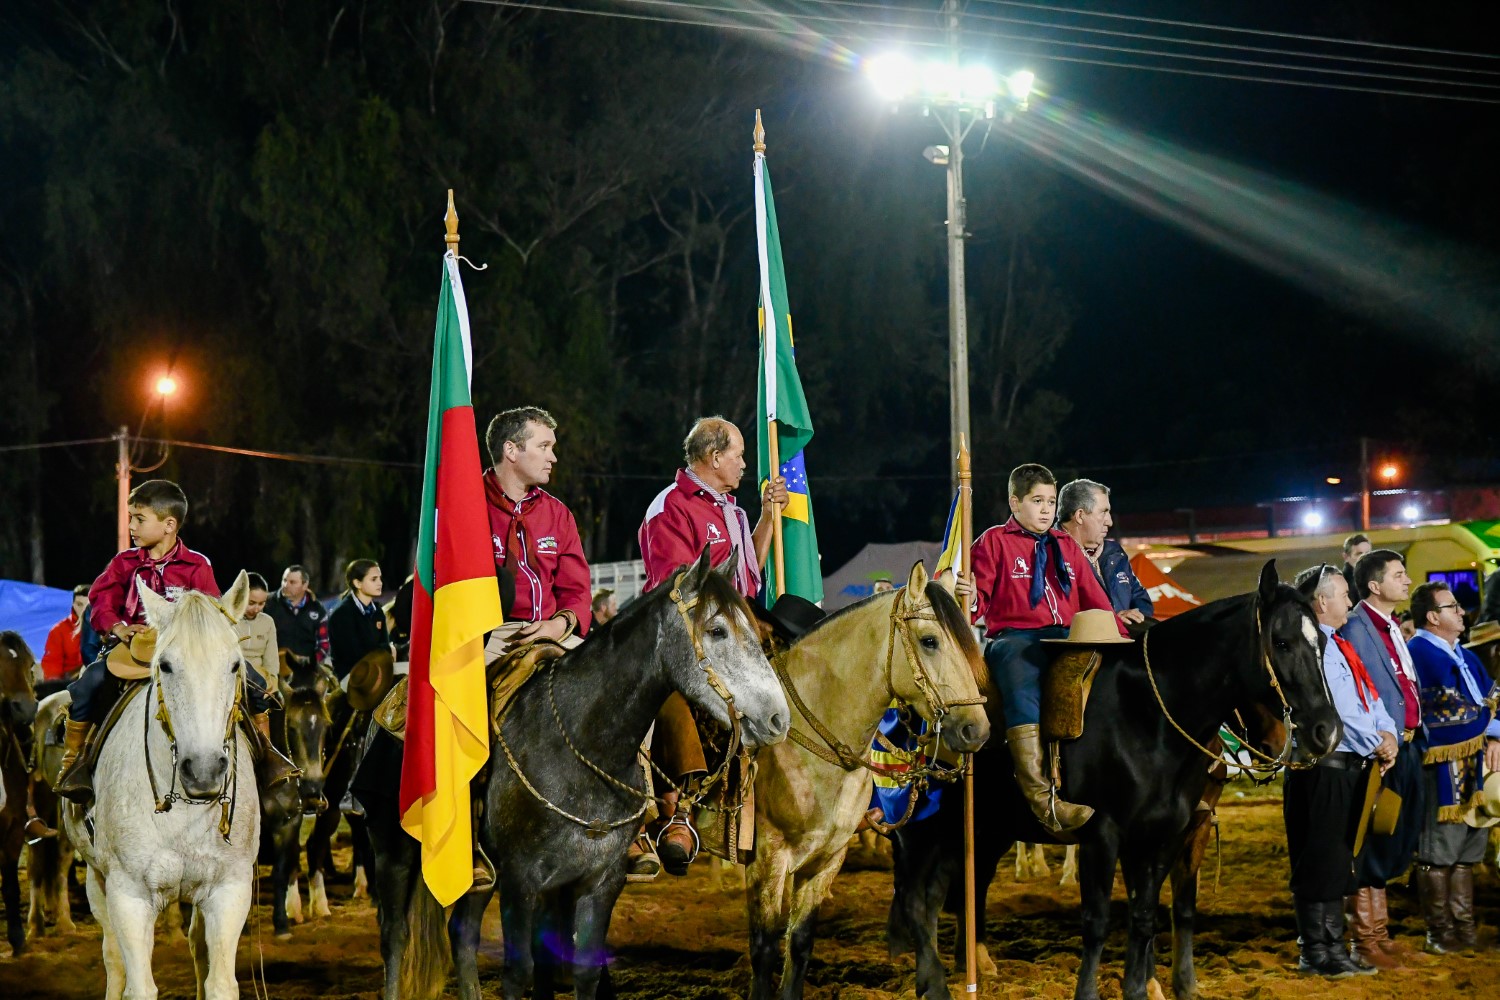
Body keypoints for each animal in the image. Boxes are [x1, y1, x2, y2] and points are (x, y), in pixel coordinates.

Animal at [65, 569, 261, 1000]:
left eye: (234, 665)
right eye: (166, 665)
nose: (204, 770)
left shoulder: (230, 890)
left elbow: (220, 982)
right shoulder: (129, 895)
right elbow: (137, 984)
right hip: (96, 880)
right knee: (113, 960)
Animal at [367, 551, 792, 995]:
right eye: (716, 630)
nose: (778, 718)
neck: (581, 747)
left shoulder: (597, 882)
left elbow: (579, 968)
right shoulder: (521, 881)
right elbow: (519, 972)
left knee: (461, 934)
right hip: (393, 850)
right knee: (395, 935)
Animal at [747, 563, 984, 1000]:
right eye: (929, 641)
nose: (977, 729)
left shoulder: (828, 857)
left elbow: (798, 944)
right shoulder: (766, 858)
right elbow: (764, 951)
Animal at [882, 563, 1344, 1000]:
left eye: (1321, 643)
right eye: (1281, 642)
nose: (1327, 731)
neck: (1147, 715)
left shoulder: (1165, 835)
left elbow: (1147, 915)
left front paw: (1144, 988)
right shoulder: (1102, 834)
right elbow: (1098, 919)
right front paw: (1092, 991)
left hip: (975, 829)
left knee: (947, 892)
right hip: (918, 827)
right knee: (915, 898)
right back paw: (931, 979)